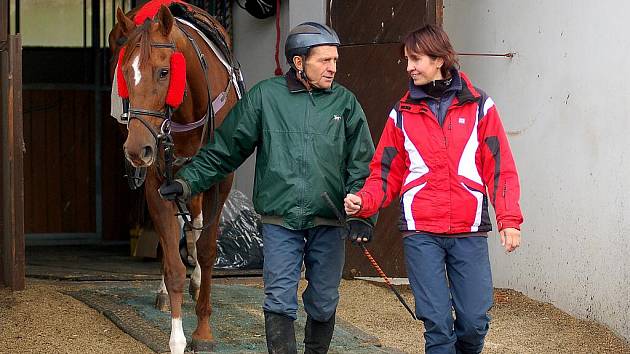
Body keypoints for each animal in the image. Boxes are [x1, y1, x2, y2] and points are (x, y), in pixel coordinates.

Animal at [111, 3, 239, 354]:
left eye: (164, 72)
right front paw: (177, 338)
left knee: (195, 223)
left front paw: (203, 331)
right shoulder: (158, 180)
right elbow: (172, 263)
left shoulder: (221, 179)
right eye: (124, 73)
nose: (136, 149)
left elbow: (208, 250)